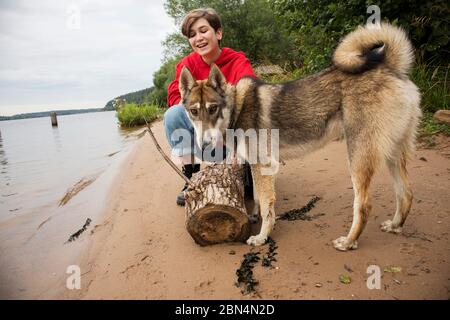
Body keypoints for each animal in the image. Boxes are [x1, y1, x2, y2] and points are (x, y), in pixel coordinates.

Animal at [178, 23, 420, 251]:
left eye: (212, 109)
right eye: (193, 111)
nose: (205, 144)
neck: (237, 106)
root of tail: (391, 66)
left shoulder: (264, 165)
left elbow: (266, 205)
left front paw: (262, 237)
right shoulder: (258, 167)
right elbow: (257, 198)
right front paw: (254, 218)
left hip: (359, 157)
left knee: (364, 206)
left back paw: (349, 242)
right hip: (392, 155)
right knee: (406, 193)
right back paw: (395, 226)